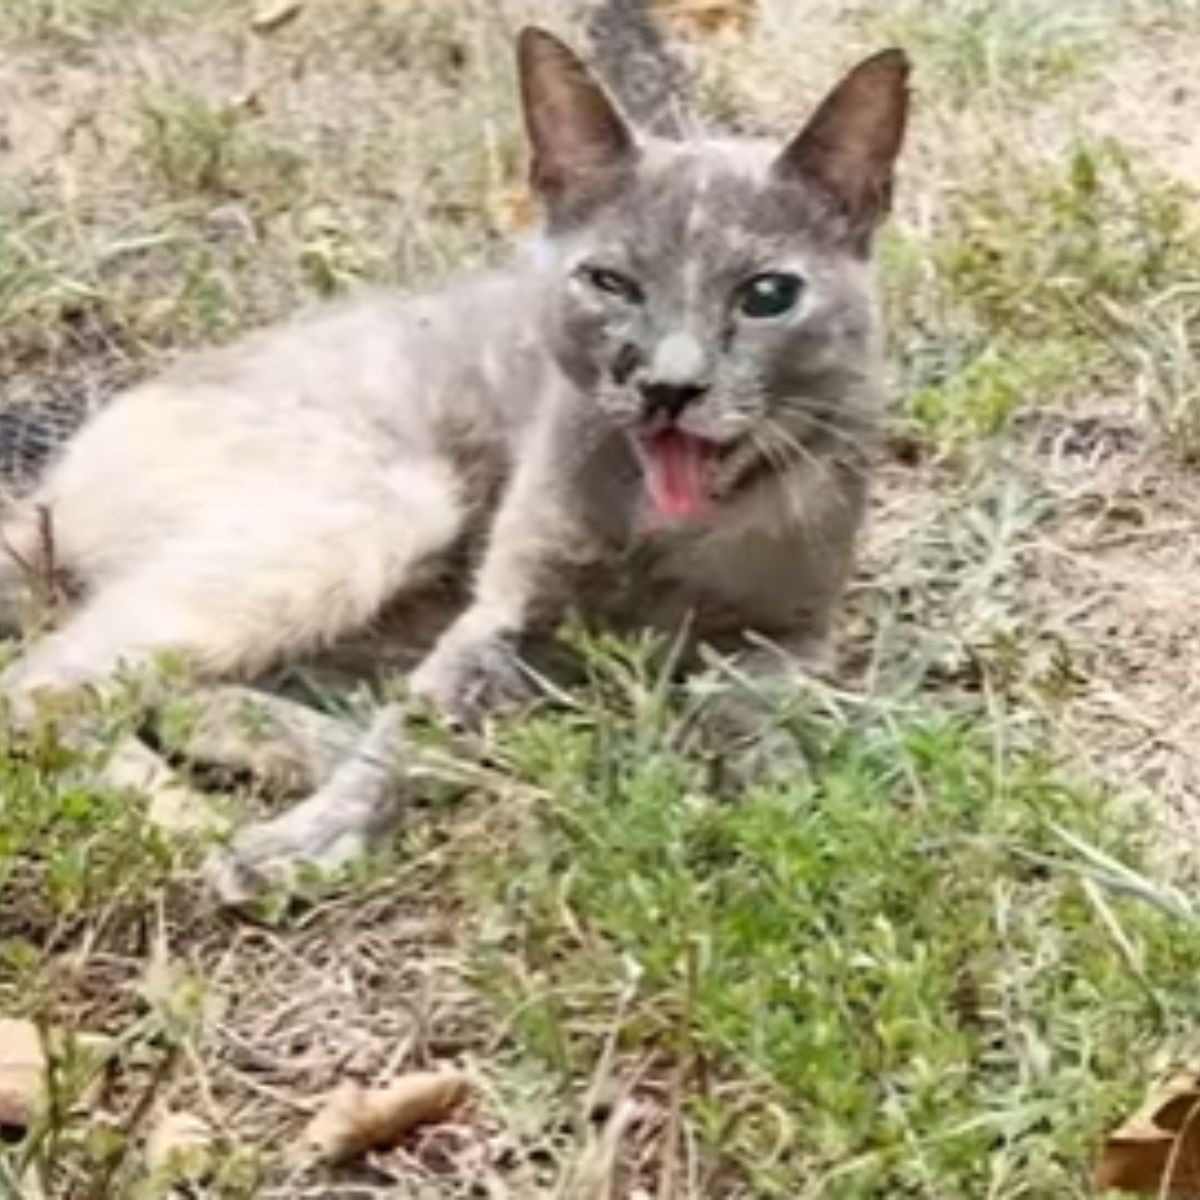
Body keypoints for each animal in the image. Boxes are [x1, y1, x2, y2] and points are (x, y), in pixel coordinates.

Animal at [0, 11, 902, 902]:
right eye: (610, 282)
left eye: (768, 296)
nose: (669, 387)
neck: (667, 516)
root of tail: (61, 473)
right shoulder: (503, 610)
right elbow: (414, 729)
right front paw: (301, 843)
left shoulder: (790, 638)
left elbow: (751, 712)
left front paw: (784, 808)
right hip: (383, 507)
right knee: (45, 686)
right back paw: (202, 814)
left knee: (185, 694)